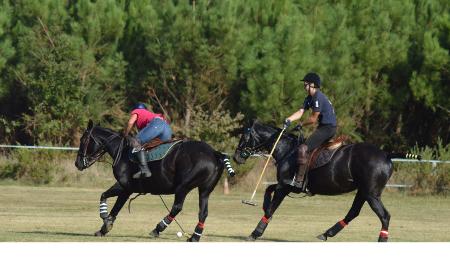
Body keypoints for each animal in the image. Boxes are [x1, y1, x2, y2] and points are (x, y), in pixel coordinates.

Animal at [74, 119, 236, 241]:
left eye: (83, 139)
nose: (78, 163)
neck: (122, 152)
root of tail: (214, 153)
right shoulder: (124, 187)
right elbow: (104, 195)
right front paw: (103, 226)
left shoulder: (126, 187)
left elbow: (115, 207)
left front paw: (105, 223)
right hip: (205, 190)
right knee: (203, 212)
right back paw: (194, 237)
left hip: (183, 186)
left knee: (177, 207)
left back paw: (158, 228)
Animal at [234, 120, 420, 242]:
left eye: (244, 136)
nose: (236, 157)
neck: (287, 150)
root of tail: (387, 155)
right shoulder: (286, 186)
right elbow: (268, 191)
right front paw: (265, 208)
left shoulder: (285, 186)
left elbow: (272, 206)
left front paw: (255, 232)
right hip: (363, 191)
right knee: (353, 212)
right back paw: (326, 234)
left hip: (371, 194)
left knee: (384, 216)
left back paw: (381, 240)